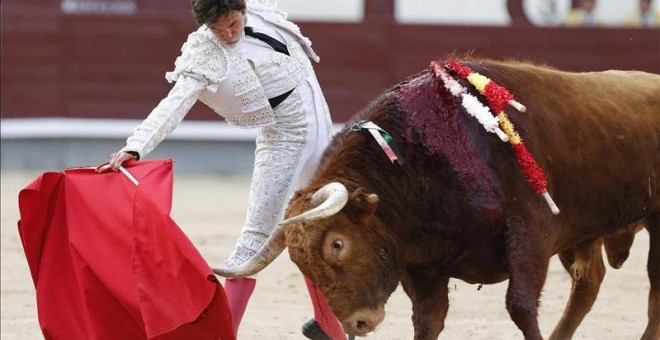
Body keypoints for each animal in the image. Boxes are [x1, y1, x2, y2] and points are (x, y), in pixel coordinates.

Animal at [215, 58, 656, 340]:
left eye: (338, 244)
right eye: (299, 262)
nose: (355, 324)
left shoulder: (531, 233)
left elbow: (520, 306)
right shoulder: (422, 264)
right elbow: (427, 320)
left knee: (650, 289)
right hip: (585, 234)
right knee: (589, 281)